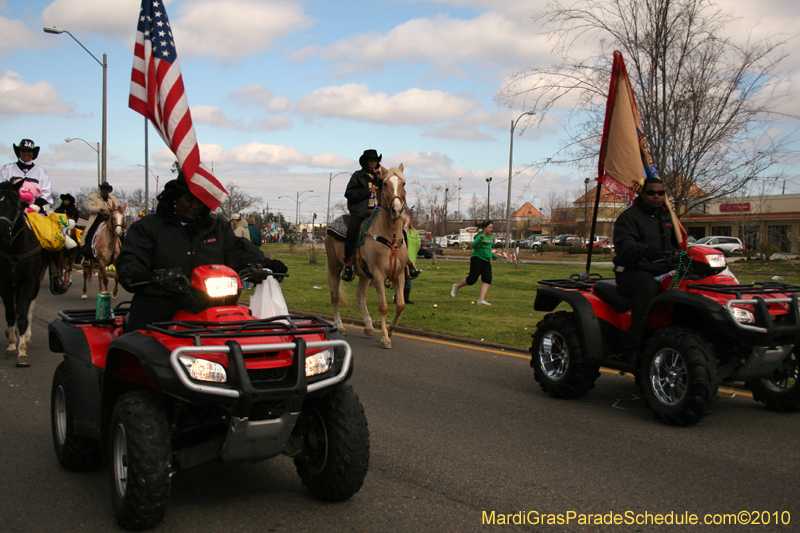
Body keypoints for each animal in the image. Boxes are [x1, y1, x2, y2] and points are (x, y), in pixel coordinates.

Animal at [324, 166, 410, 350]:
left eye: (403, 183)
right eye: (385, 183)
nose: (396, 210)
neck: (390, 237)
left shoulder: (399, 274)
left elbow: (400, 305)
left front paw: (390, 330)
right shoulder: (378, 275)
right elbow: (383, 306)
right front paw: (384, 337)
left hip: (364, 274)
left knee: (360, 296)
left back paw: (369, 327)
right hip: (335, 267)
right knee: (334, 296)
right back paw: (340, 326)